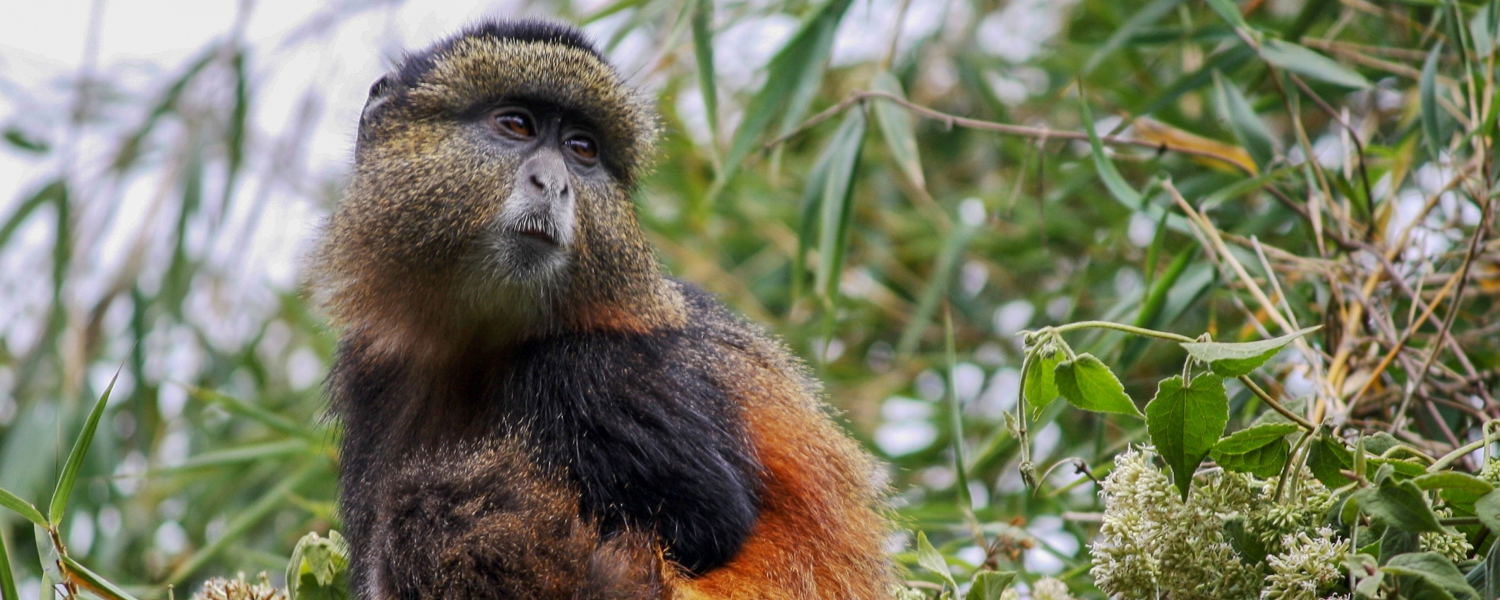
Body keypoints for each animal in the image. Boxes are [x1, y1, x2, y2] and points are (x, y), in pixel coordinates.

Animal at [307, 20, 893, 599]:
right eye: (517, 125)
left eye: (581, 149)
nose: (554, 182)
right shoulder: (373, 371)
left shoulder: (599, 373)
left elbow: (712, 523)